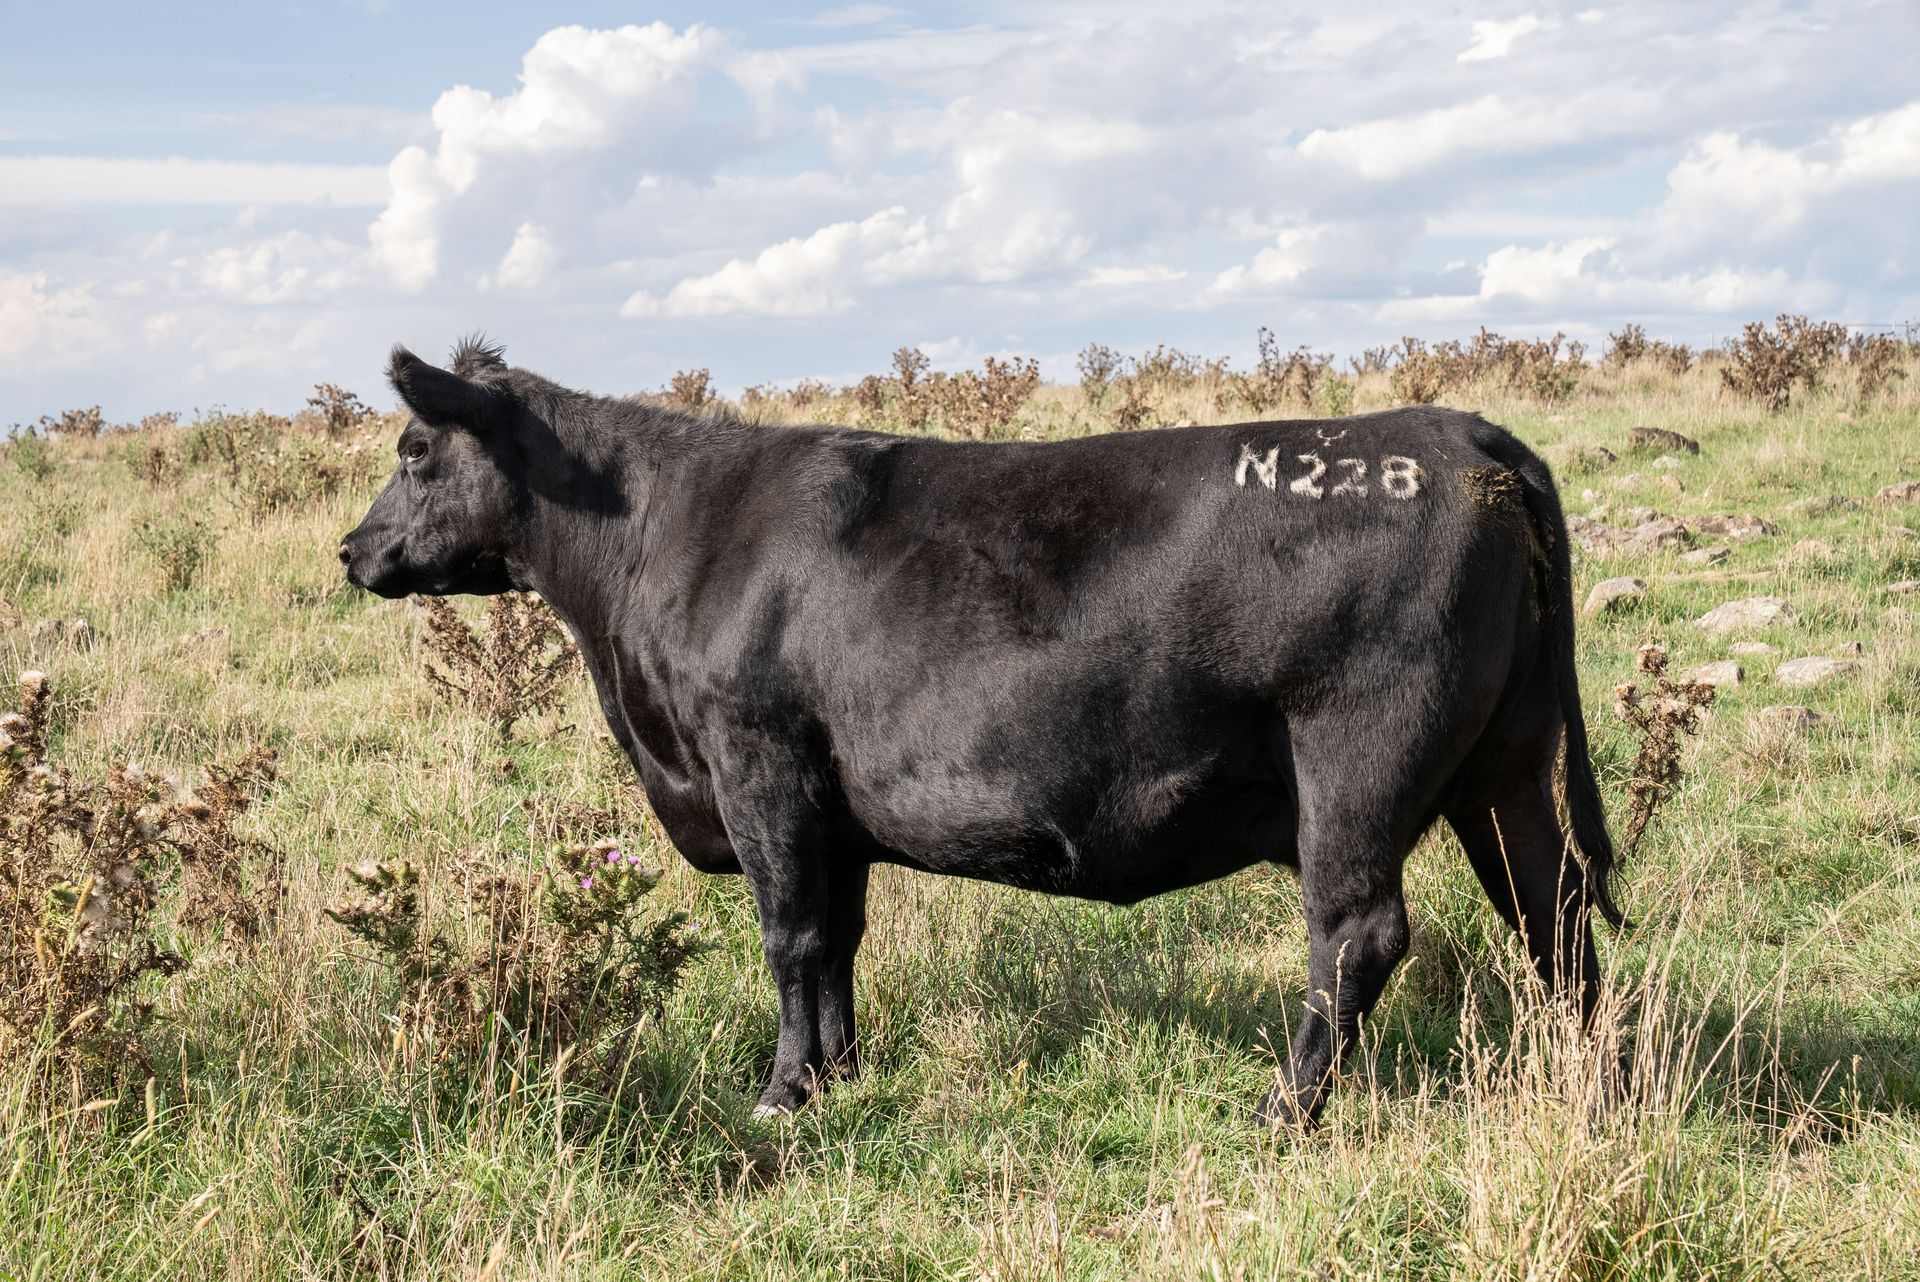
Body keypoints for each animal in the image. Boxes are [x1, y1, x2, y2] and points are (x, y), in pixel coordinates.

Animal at [340, 336, 1622, 1129]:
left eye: (413, 452)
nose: (352, 550)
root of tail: (1465, 436)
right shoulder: (832, 804)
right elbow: (840, 941)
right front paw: (842, 1074)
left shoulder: (758, 765)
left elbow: (792, 937)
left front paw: (782, 1094)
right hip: (1505, 766)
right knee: (1553, 918)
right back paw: (1588, 1084)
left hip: (1357, 761)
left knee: (1360, 935)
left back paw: (1285, 1108)